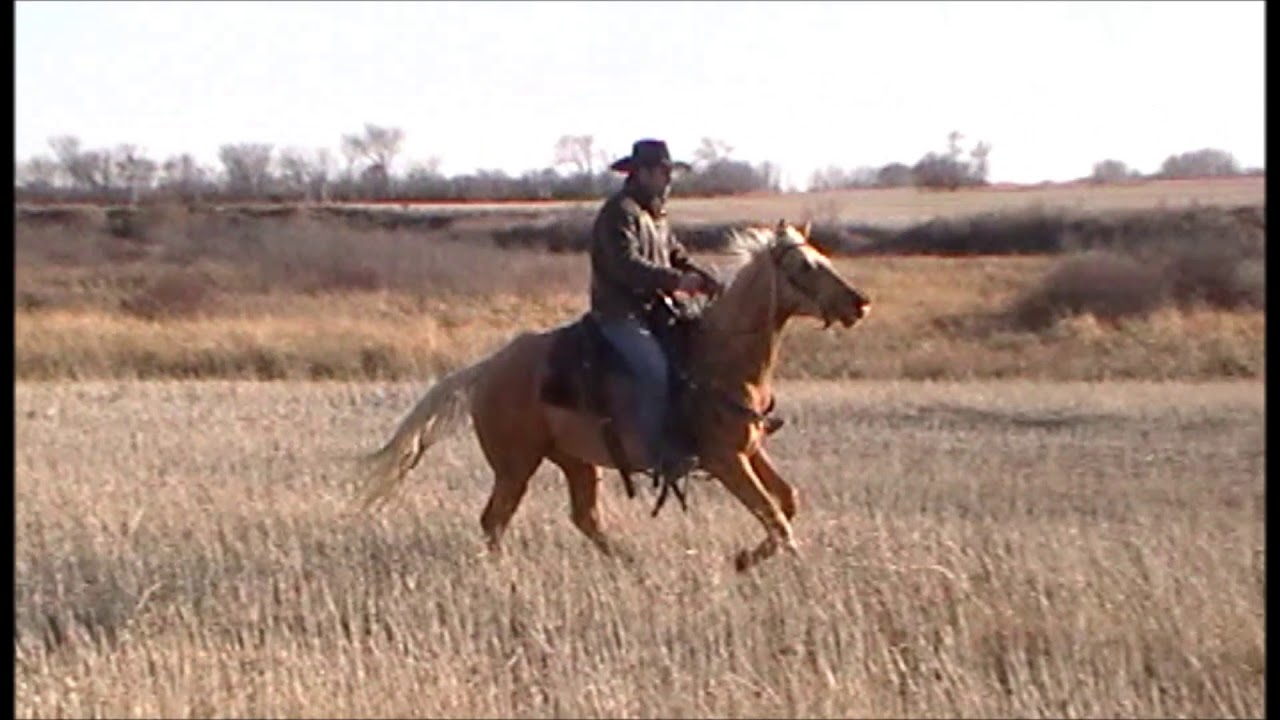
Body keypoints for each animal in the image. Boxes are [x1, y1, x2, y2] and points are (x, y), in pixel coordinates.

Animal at [354, 219, 871, 572]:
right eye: (804, 265)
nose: (859, 302)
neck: (720, 358)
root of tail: (488, 368)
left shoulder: (750, 450)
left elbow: (787, 502)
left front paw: (744, 559)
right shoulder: (726, 460)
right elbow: (775, 516)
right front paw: (784, 564)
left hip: (576, 462)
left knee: (583, 517)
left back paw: (627, 561)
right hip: (515, 465)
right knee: (494, 519)